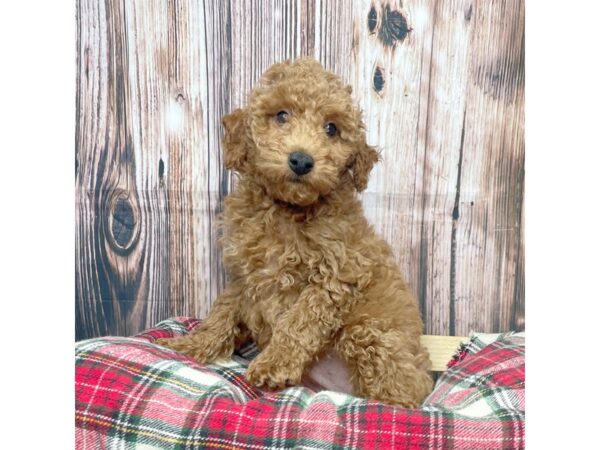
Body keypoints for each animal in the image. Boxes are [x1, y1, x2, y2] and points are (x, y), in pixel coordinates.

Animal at [157, 57, 434, 408]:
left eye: (331, 128)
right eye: (281, 115)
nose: (301, 160)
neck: (287, 209)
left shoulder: (337, 276)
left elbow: (299, 321)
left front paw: (274, 363)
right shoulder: (246, 277)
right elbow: (223, 312)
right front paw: (190, 346)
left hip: (370, 333)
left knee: (400, 393)